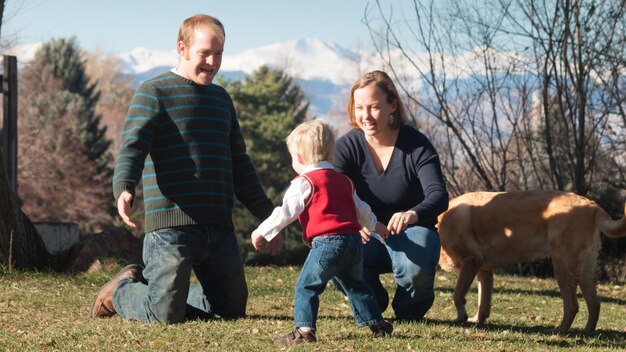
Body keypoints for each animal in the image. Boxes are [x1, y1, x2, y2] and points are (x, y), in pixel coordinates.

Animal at [434, 191, 624, 334]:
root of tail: (593, 206)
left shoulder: (471, 261)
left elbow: (458, 294)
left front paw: (462, 317)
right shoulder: (484, 270)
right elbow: (483, 301)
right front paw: (477, 320)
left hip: (562, 267)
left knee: (572, 305)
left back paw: (559, 330)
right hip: (583, 271)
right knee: (594, 304)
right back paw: (587, 330)